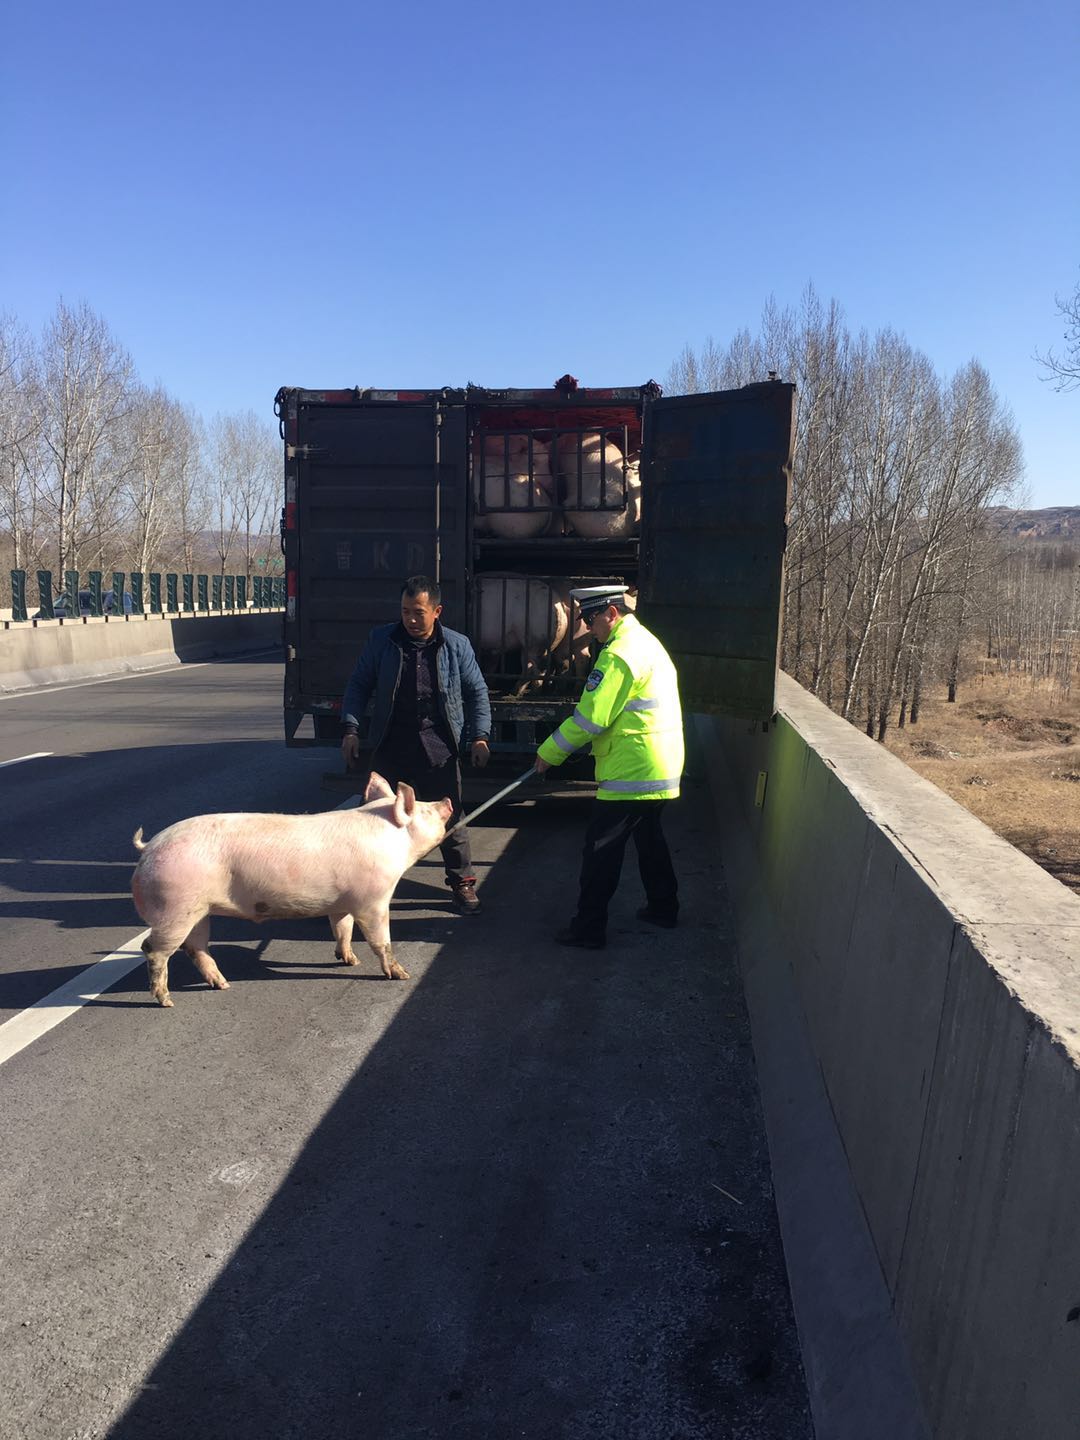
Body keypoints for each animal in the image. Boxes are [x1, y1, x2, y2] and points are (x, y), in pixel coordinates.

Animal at [131, 771, 452, 1008]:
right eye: (424, 809)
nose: (448, 799)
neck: (393, 845)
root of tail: (148, 849)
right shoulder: (372, 900)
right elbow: (380, 940)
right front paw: (402, 975)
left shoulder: (342, 901)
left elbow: (342, 928)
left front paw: (350, 960)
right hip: (175, 908)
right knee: (154, 949)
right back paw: (167, 1001)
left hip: (197, 911)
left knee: (195, 947)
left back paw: (223, 985)